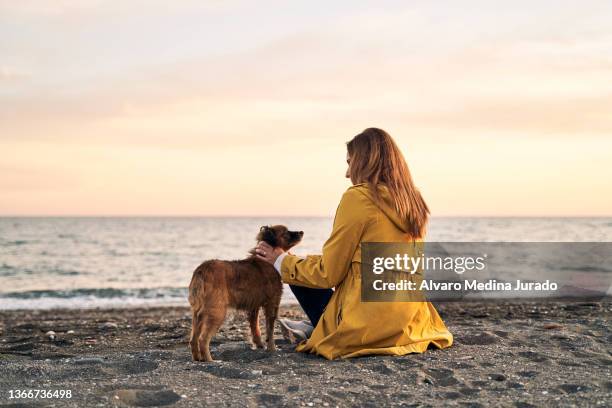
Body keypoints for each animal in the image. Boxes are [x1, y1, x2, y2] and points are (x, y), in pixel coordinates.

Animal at [186, 225, 302, 362]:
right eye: (285, 233)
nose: (301, 232)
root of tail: (201, 270)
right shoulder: (272, 304)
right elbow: (270, 329)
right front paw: (272, 348)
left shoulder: (254, 307)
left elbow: (255, 328)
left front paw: (259, 345)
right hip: (217, 312)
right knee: (203, 339)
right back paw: (210, 360)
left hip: (197, 314)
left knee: (193, 339)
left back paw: (197, 358)